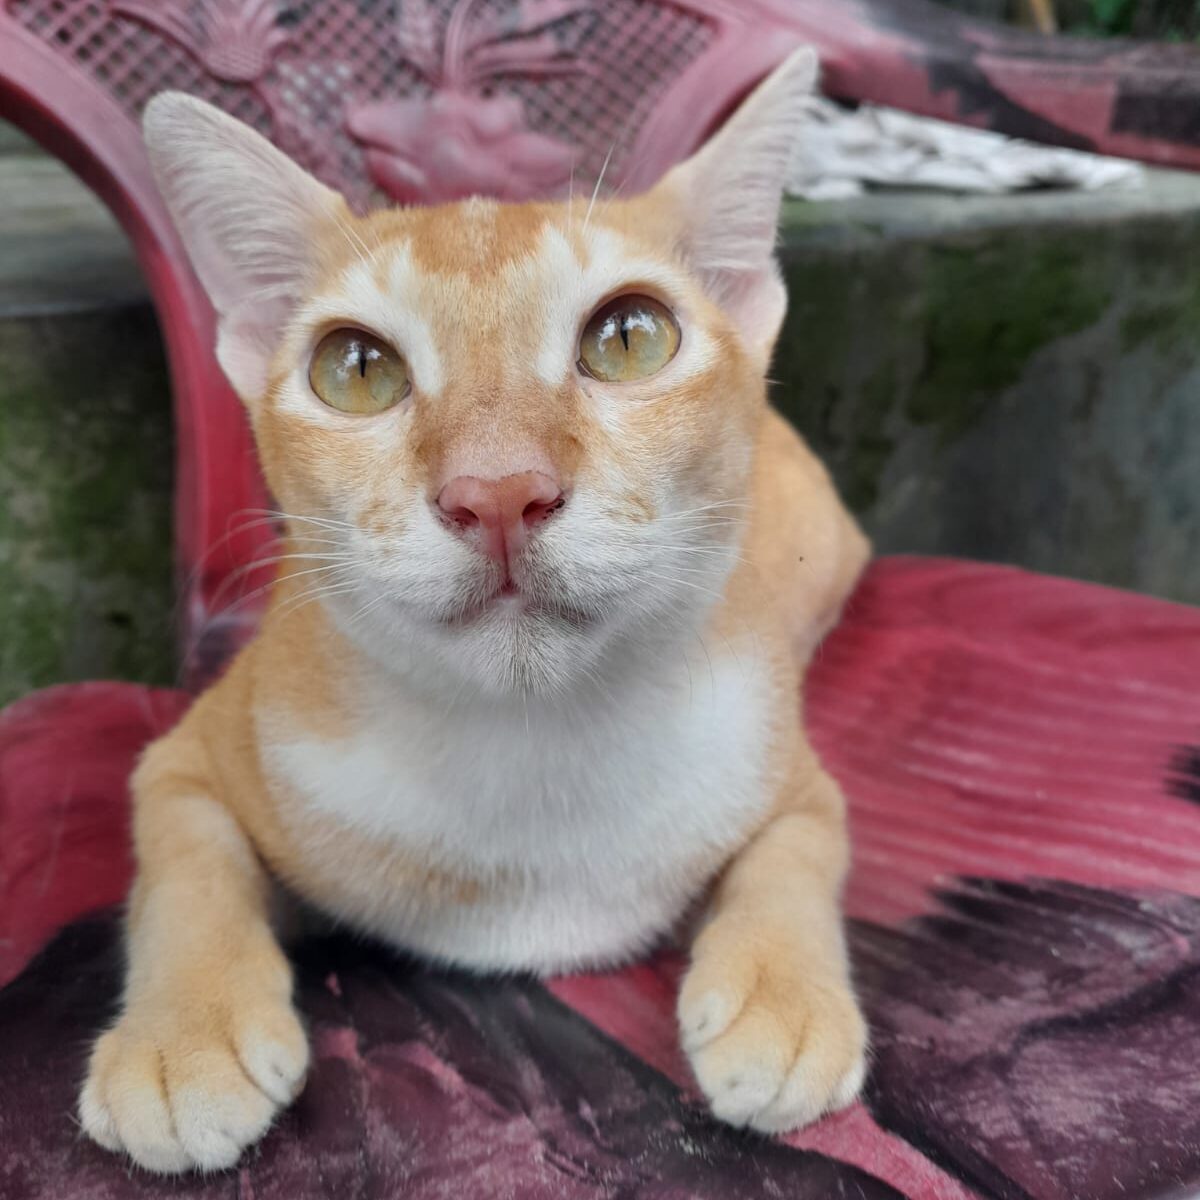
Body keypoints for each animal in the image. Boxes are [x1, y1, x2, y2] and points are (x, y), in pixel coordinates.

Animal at [77, 49, 873, 1171]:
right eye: (355, 368)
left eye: (632, 337)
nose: (497, 490)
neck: (530, 744)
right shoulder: (190, 754)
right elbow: (187, 859)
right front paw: (183, 1034)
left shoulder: (787, 766)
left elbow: (800, 849)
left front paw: (783, 999)